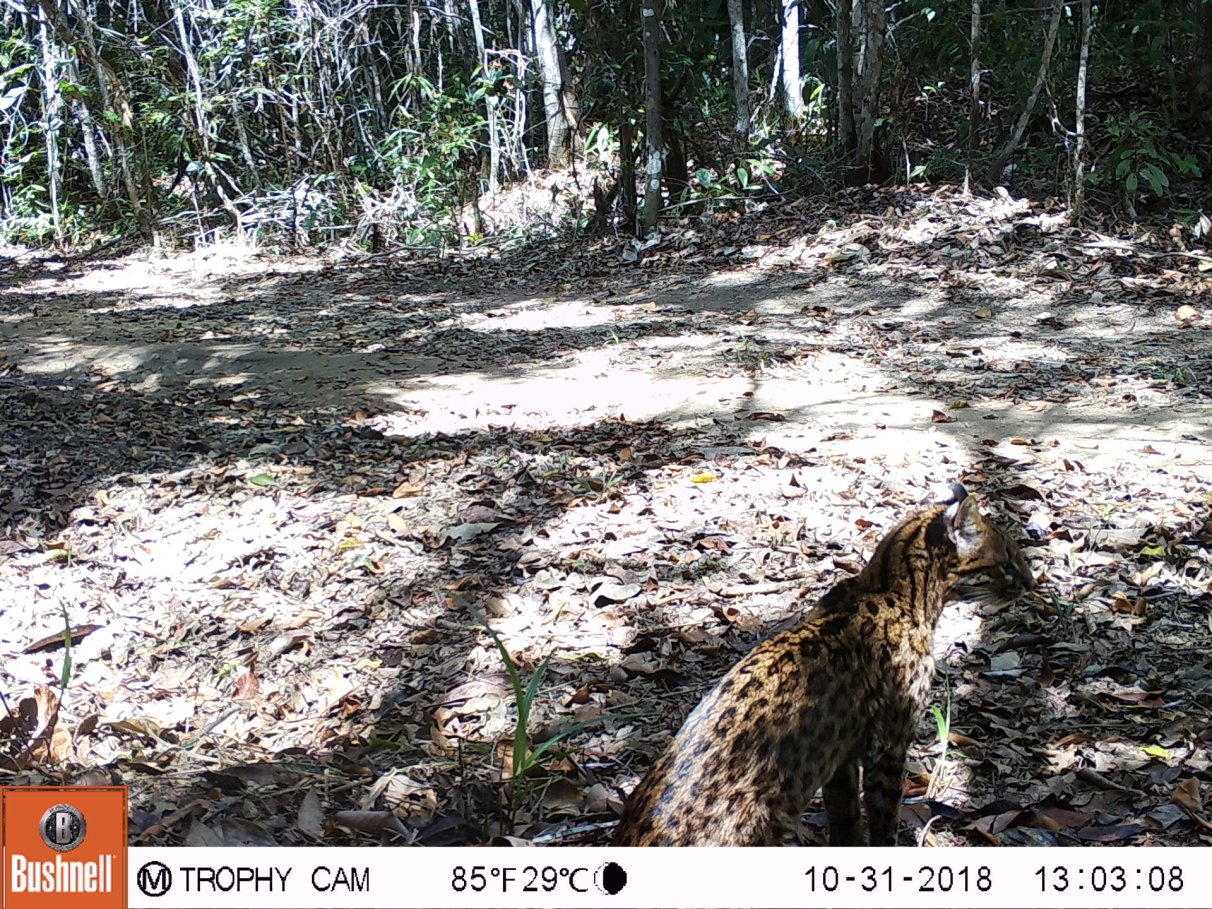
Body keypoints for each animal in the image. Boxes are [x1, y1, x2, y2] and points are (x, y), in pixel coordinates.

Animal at [615, 487, 1032, 853]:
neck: (891, 587)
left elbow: (845, 819)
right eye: (1009, 562)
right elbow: (884, 815)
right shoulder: (890, 741)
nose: (1031, 583)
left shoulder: (840, 758)